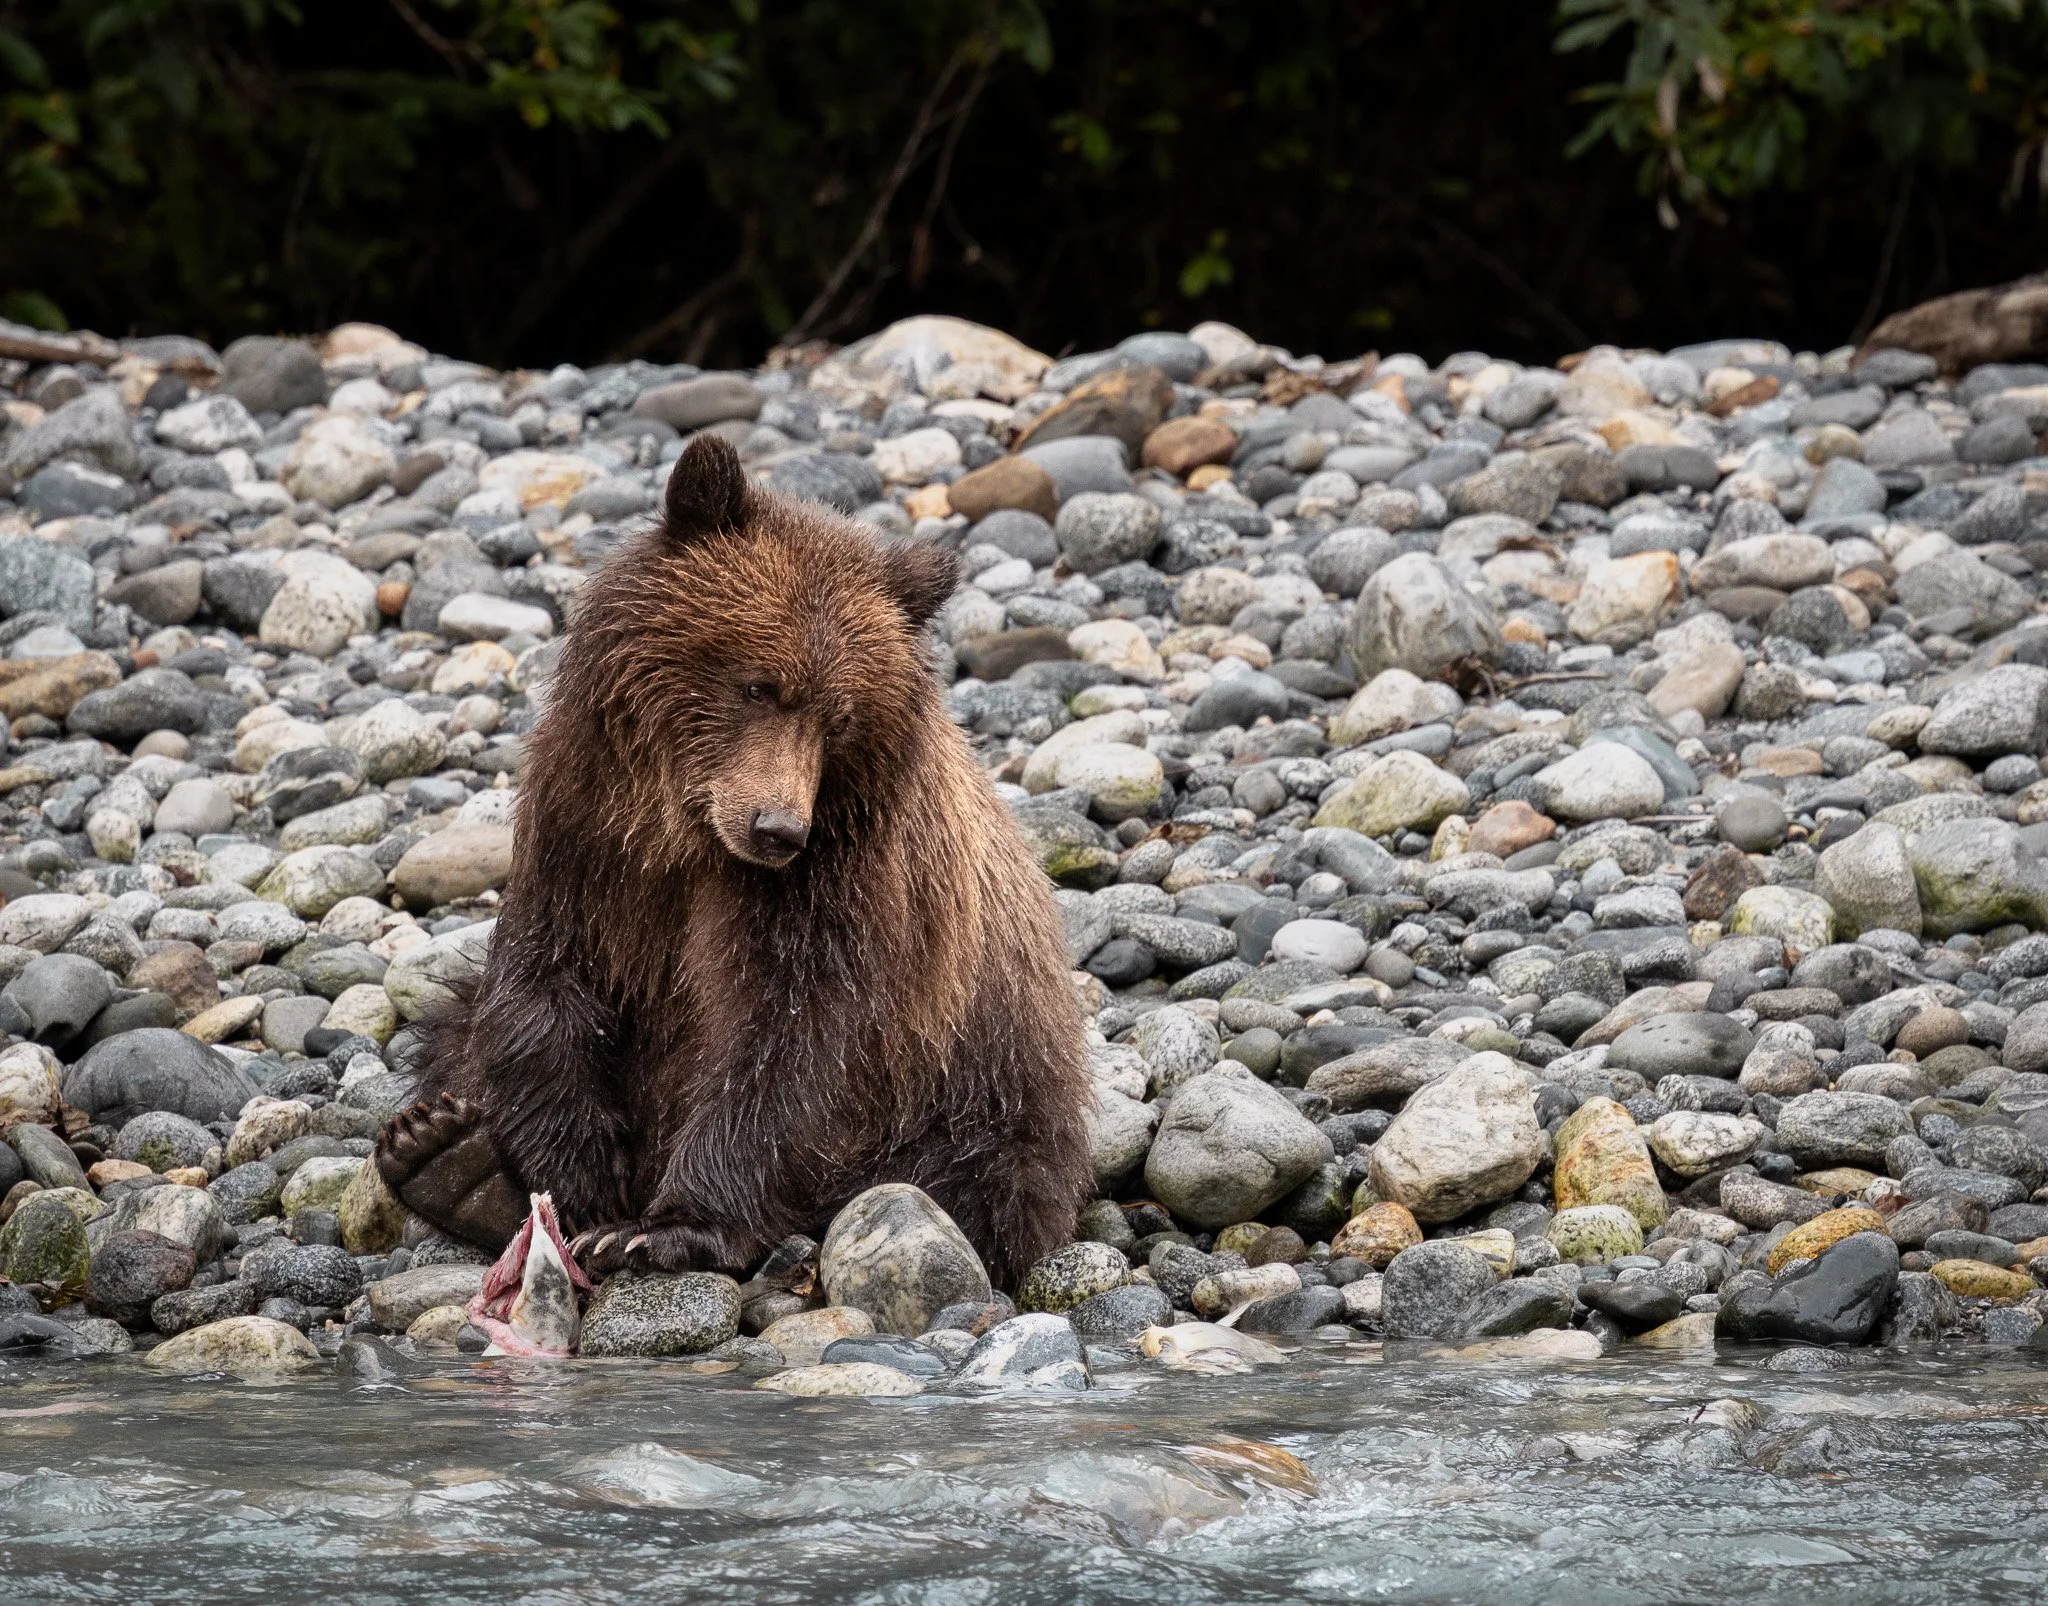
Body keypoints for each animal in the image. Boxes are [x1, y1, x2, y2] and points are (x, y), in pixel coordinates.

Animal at [375, 433, 1092, 1290]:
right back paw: (448, 1156)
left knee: (955, 1178)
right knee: (454, 1025)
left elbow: (793, 1037)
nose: (778, 827)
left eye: (838, 715)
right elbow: (546, 982)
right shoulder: (581, 831)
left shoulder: (844, 875)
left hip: (983, 1096)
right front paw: (568, 1174)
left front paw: (668, 1230)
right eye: (758, 684)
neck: (684, 831)